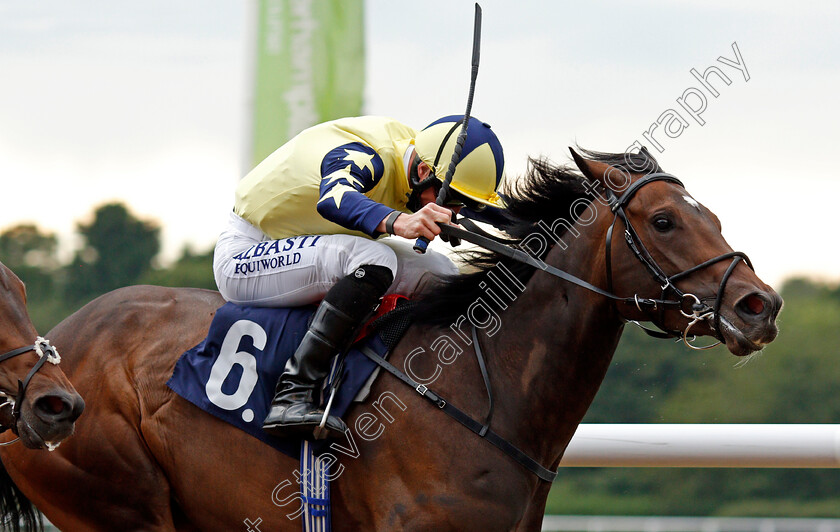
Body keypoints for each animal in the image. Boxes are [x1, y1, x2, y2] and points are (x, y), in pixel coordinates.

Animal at [0, 150, 780, 532]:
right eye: (665, 222)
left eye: (708, 213)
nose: (760, 304)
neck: (482, 387)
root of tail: (51, 355)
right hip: (117, 503)